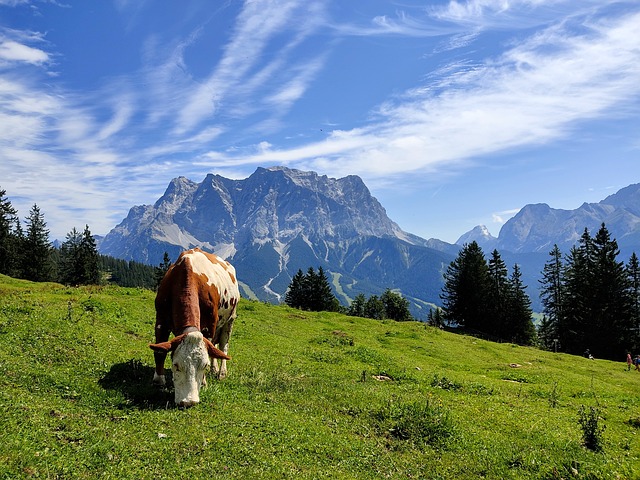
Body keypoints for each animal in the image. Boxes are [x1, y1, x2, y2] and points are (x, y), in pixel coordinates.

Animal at [149, 248, 240, 408]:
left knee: (223, 346)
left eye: (203, 366)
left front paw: (203, 382)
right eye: (176, 365)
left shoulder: (209, 326)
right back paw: (215, 369)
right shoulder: (161, 320)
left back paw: (221, 373)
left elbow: (210, 351)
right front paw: (158, 380)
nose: (189, 402)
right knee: (215, 347)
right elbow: (159, 351)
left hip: (230, 320)